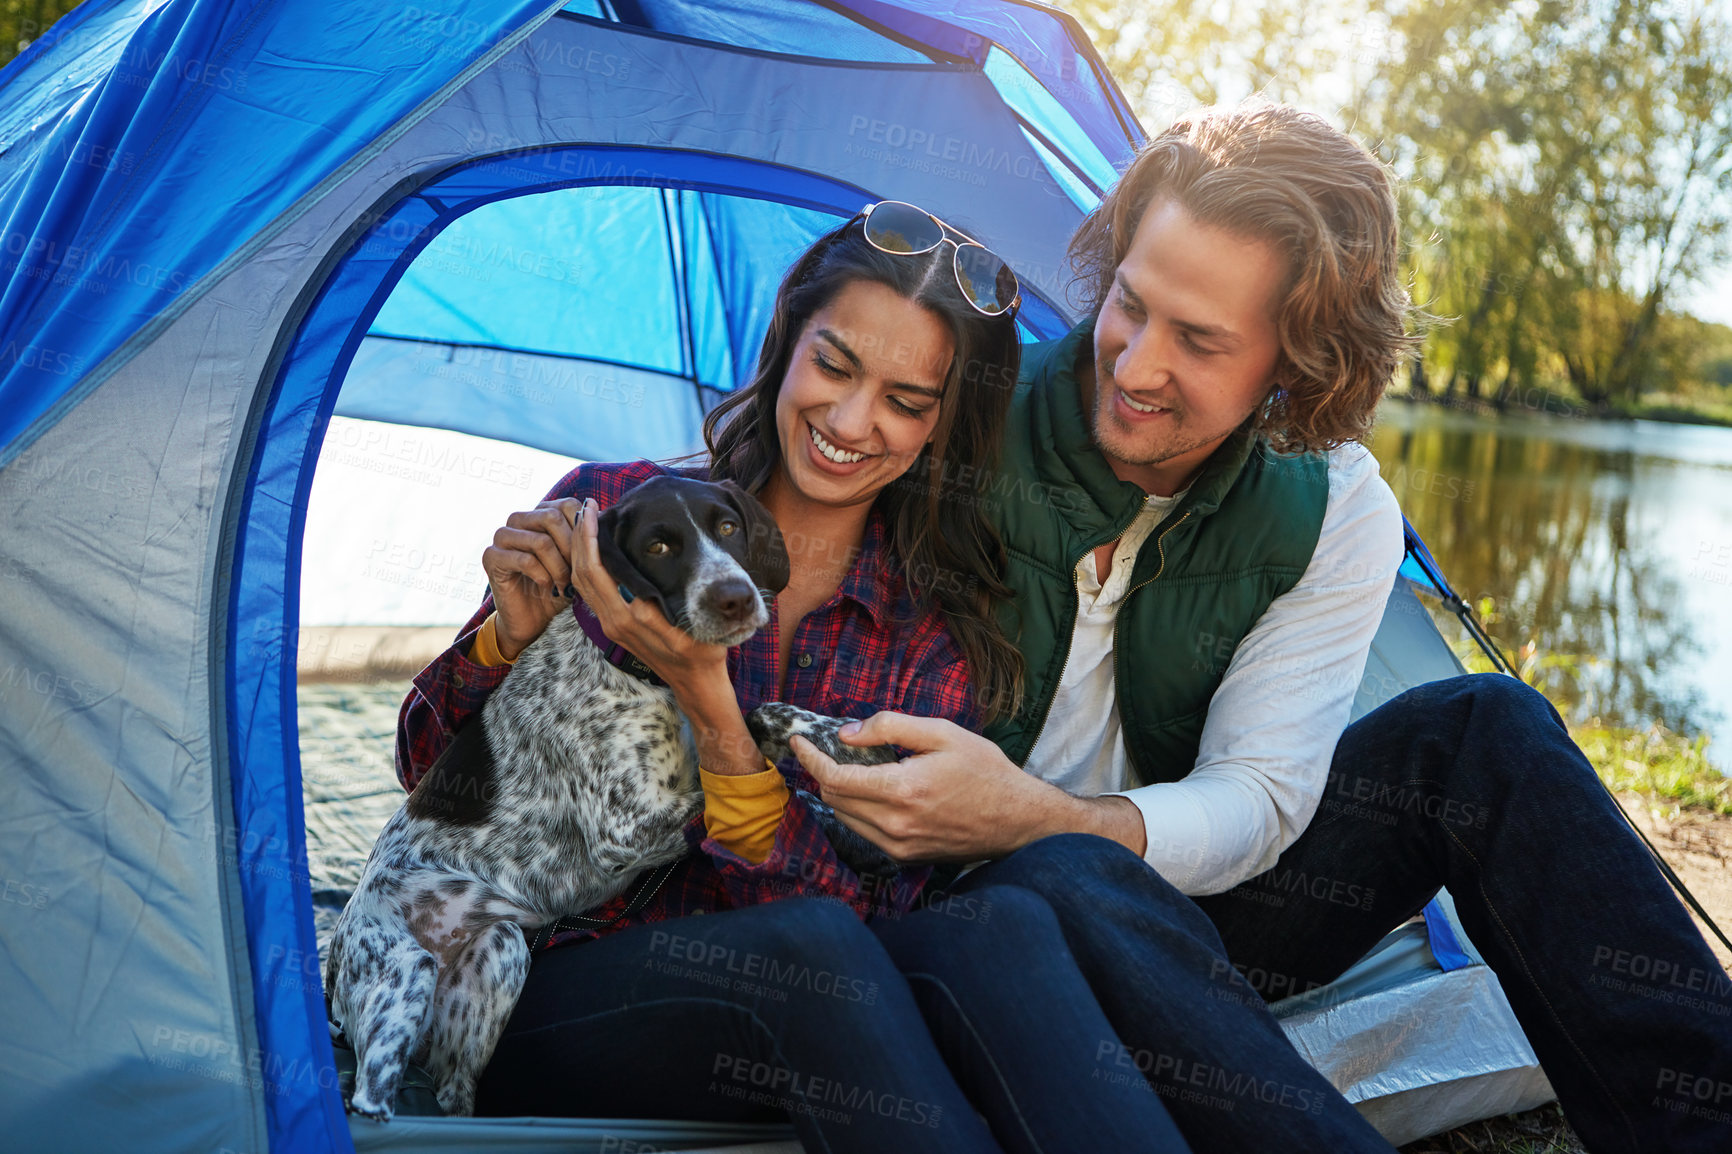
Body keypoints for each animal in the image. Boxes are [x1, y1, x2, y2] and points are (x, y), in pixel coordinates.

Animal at [322, 471, 789, 1115]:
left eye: (727, 526)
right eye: (658, 546)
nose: (736, 597)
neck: (637, 670)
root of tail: (333, 975)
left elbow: (764, 723)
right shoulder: (625, 829)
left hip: (502, 950)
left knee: (453, 1091)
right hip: (403, 970)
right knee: (370, 1101)